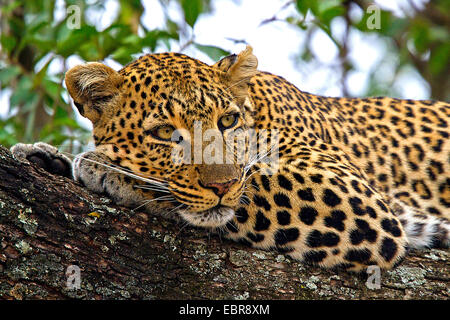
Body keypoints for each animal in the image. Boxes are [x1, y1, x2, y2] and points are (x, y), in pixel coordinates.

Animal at [12, 45, 448, 272]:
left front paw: (106, 167)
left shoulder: (356, 199)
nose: (221, 185)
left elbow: (251, 186)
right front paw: (44, 156)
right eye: (164, 133)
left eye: (227, 121)